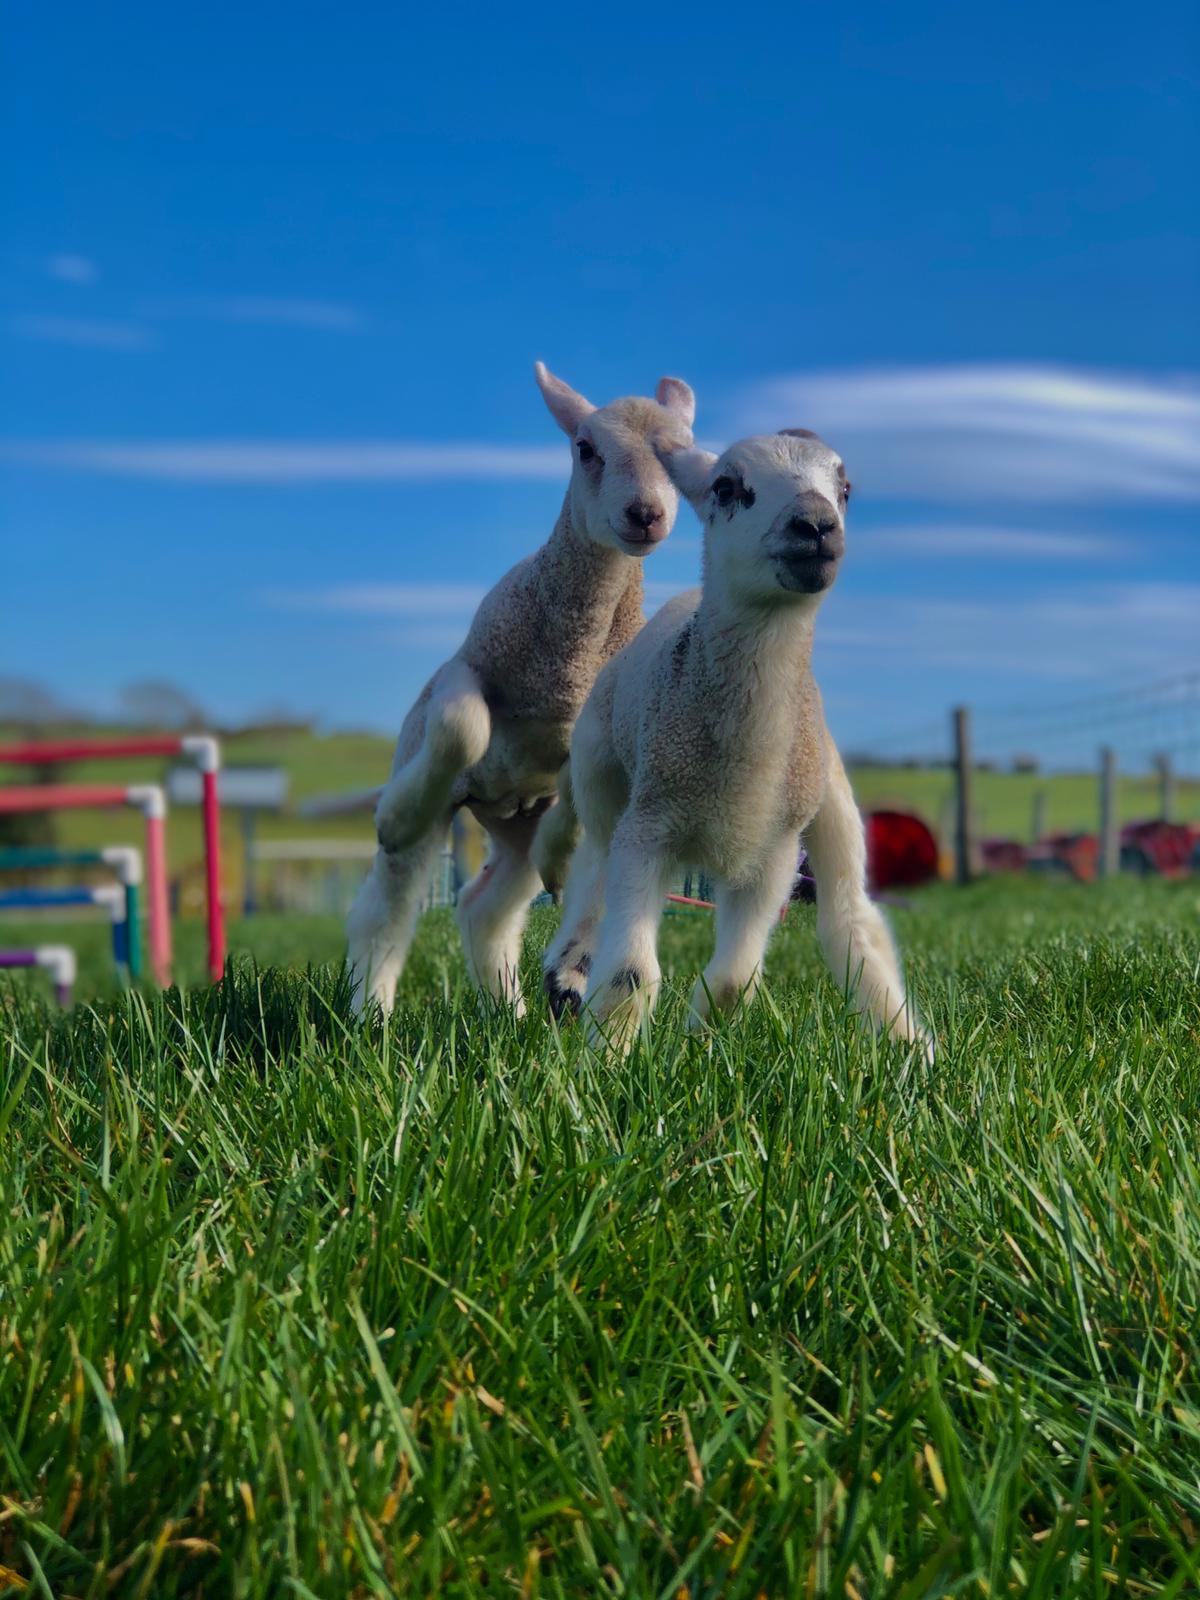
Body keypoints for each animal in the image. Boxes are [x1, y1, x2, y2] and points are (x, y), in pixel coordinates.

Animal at [346, 363, 696, 1016]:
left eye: (684, 455)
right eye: (585, 449)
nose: (645, 513)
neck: (571, 661)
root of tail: (497, 804)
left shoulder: (595, 726)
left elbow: (581, 807)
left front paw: (564, 876)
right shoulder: (469, 663)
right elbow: (463, 724)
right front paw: (396, 814)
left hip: (517, 829)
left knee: (485, 909)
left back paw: (513, 1007)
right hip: (434, 775)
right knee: (384, 911)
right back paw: (370, 1013)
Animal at [539, 428, 930, 1057]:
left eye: (845, 489)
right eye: (726, 486)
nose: (816, 524)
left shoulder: (773, 853)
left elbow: (734, 979)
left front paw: (702, 1036)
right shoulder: (649, 828)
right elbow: (631, 971)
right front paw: (610, 1056)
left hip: (827, 799)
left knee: (852, 918)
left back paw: (906, 1045)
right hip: (603, 777)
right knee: (590, 873)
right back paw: (568, 977)